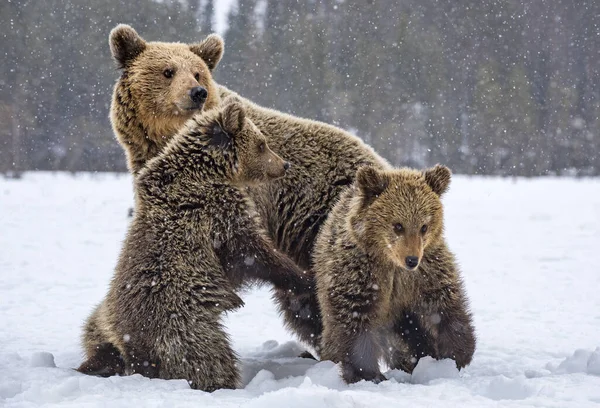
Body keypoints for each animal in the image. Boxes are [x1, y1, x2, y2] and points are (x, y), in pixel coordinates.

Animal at [77, 99, 312, 392]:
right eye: (261, 144)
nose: (285, 164)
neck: (207, 171)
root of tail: (131, 345)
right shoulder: (217, 214)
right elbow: (253, 251)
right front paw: (304, 277)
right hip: (182, 326)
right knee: (208, 358)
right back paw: (222, 382)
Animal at [312, 164, 476, 384]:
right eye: (398, 225)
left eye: (424, 226)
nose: (411, 259)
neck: (392, 265)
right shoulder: (359, 274)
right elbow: (355, 318)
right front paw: (366, 372)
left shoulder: (426, 272)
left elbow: (443, 305)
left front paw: (456, 354)